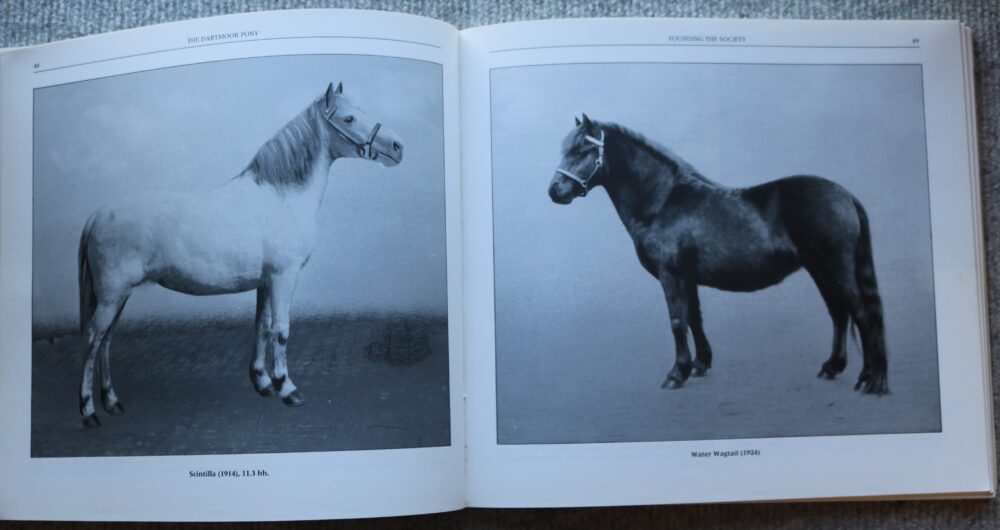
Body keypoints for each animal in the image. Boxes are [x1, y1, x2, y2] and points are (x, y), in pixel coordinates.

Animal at [77, 82, 404, 428]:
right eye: (349, 118)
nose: (397, 147)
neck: (281, 197)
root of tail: (97, 215)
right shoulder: (284, 277)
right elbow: (281, 330)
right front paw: (288, 389)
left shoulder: (265, 282)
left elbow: (261, 326)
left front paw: (262, 383)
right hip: (112, 296)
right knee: (92, 341)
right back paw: (88, 412)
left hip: (119, 296)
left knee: (106, 342)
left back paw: (112, 402)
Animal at [548, 114, 887, 395]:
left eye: (582, 150)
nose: (554, 191)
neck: (663, 201)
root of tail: (846, 196)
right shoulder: (688, 277)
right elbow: (694, 317)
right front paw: (699, 365)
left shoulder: (671, 275)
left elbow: (677, 320)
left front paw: (676, 374)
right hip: (821, 270)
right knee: (839, 313)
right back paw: (832, 367)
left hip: (835, 268)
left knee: (862, 314)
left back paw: (869, 380)